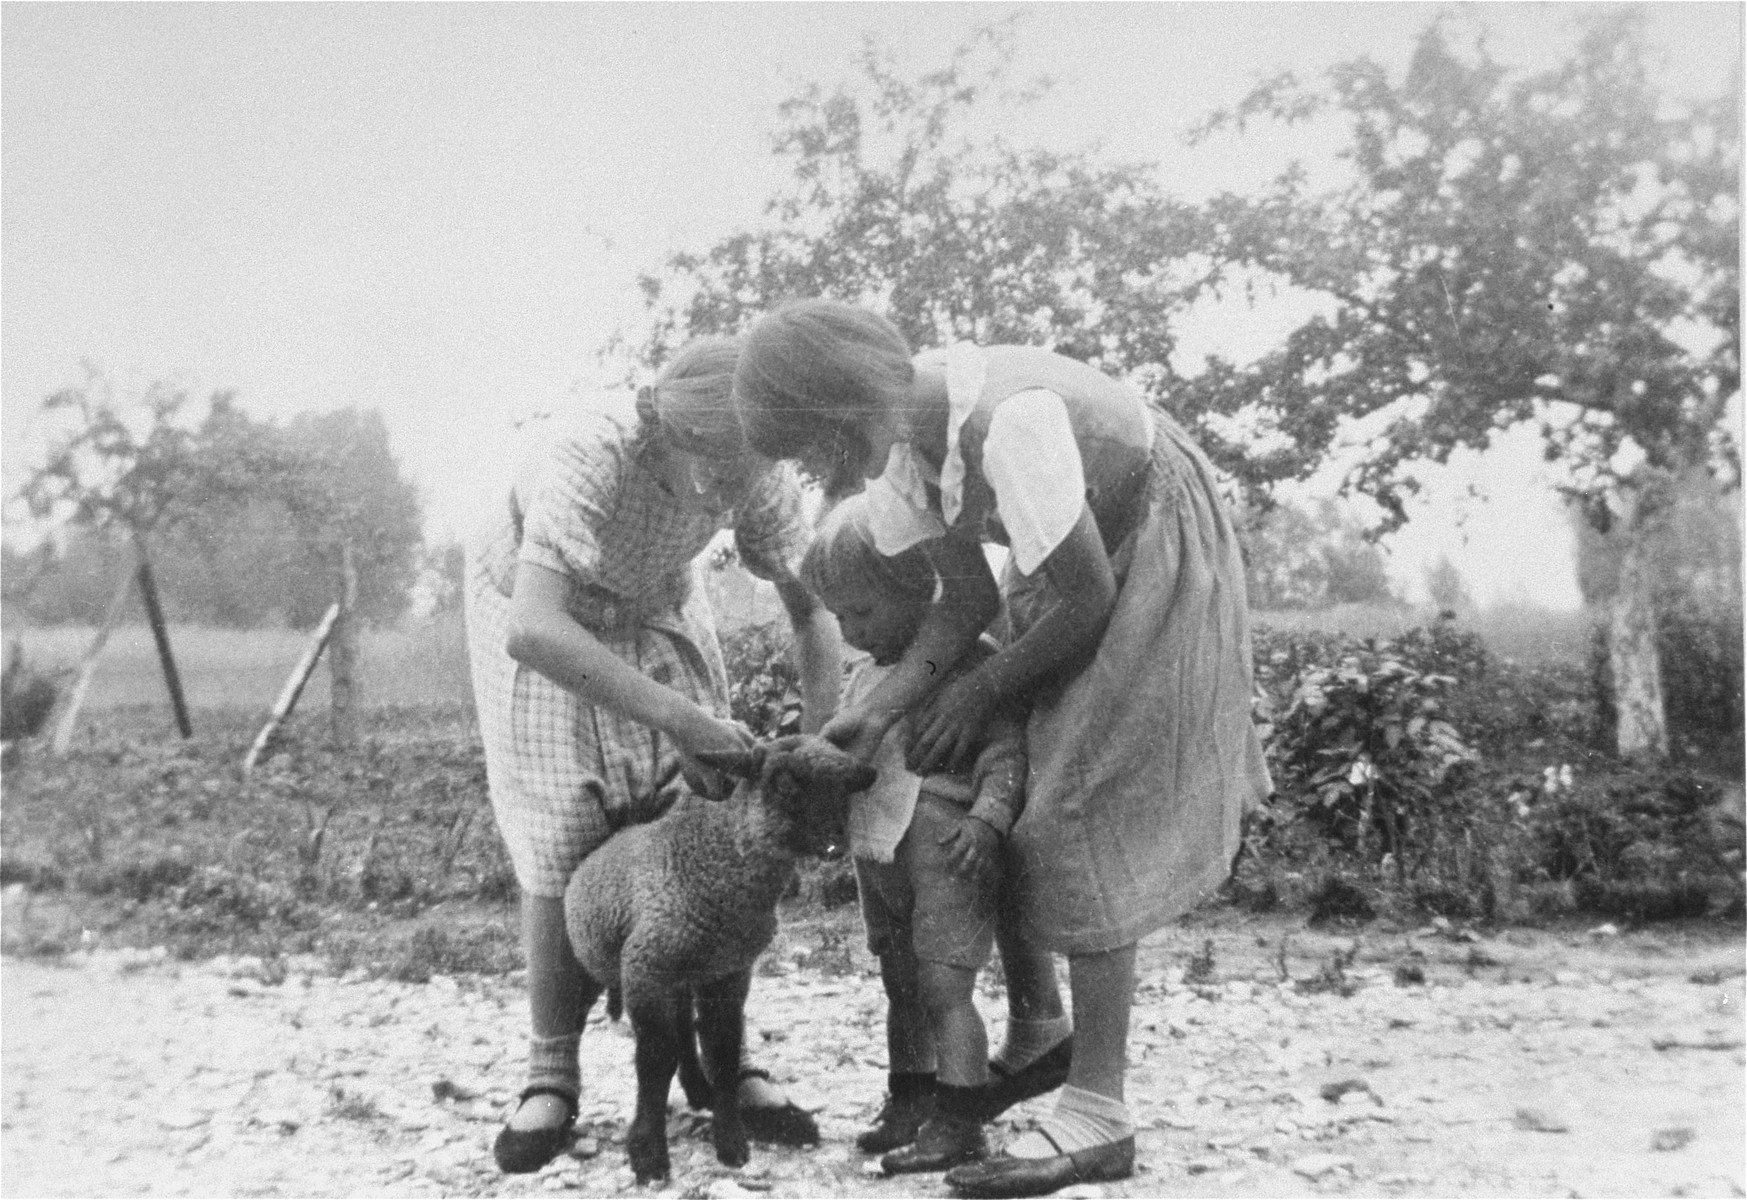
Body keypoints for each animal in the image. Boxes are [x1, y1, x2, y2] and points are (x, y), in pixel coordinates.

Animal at [566, 733, 880, 1180]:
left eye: (845, 787)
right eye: (785, 781)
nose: (837, 842)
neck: (720, 859)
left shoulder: (729, 972)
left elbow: (723, 1051)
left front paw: (731, 1139)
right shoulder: (645, 968)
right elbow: (654, 1060)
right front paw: (648, 1152)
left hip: (684, 979)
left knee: (684, 1032)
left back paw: (700, 1090)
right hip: (603, 968)